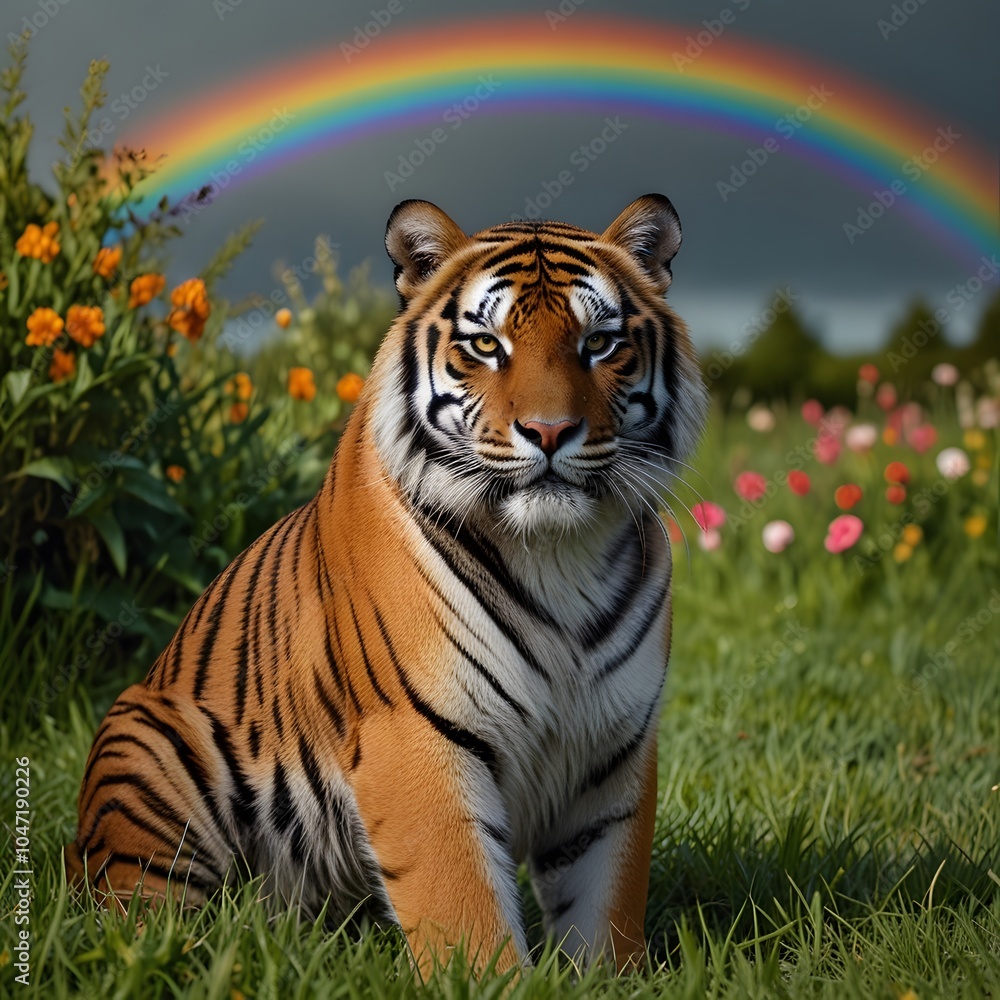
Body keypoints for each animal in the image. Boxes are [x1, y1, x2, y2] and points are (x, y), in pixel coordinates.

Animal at [67, 194, 708, 977]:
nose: (551, 430)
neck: (558, 554)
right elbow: (465, 907)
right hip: (147, 742)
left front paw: (607, 980)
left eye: (600, 344)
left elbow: (606, 907)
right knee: (149, 922)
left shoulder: (614, 747)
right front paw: (493, 983)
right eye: (486, 345)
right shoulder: (416, 732)